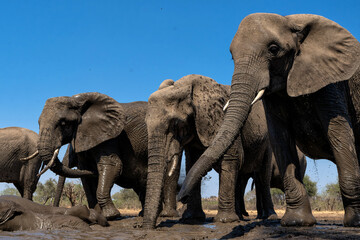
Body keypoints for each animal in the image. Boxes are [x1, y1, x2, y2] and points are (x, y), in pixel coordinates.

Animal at [35, 91, 179, 219]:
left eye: (63, 123)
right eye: (38, 122)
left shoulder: (109, 136)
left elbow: (112, 165)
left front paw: (111, 216)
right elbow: (86, 174)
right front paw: (96, 214)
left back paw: (163, 214)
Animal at [141, 75, 276, 229]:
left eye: (175, 123)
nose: (182, 197)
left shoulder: (221, 117)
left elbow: (231, 157)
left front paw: (225, 221)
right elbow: (192, 162)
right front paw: (192, 218)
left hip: (267, 143)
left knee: (263, 177)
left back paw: (268, 217)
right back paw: (240, 217)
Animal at [179, 13, 360, 227]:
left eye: (274, 49)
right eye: (232, 55)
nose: (181, 196)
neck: (290, 21)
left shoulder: (331, 82)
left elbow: (338, 134)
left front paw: (355, 222)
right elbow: (280, 139)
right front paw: (296, 222)